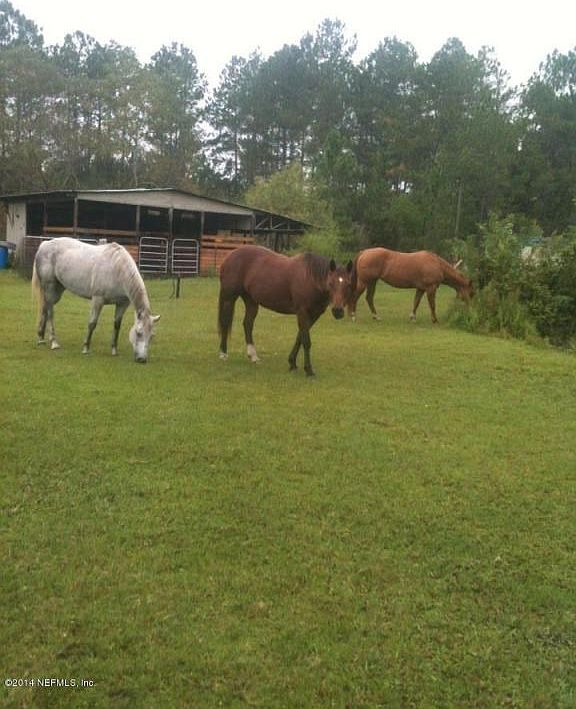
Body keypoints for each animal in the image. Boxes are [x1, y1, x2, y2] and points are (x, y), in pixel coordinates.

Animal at [32, 237, 160, 363]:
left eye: (152, 336)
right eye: (139, 333)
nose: (142, 359)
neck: (117, 269)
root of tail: (44, 244)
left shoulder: (122, 304)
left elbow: (117, 325)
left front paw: (114, 350)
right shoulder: (98, 300)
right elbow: (92, 323)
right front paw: (86, 348)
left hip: (57, 290)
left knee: (45, 308)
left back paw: (41, 338)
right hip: (50, 287)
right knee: (50, 312)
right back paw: (54, 342)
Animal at [218, 245, 353, 376]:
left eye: (348, 285)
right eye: (330, 283)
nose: (338, 311)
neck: (309, 279)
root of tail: (229, 256)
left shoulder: (314, 315)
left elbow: (300, 337)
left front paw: (292, 362)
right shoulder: (302, 312)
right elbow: (306, 341)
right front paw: (308, 369)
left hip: (251, 300)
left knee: (248, 324)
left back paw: (253, 356)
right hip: (229, 298)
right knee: (225, 322)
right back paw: (223, 354)